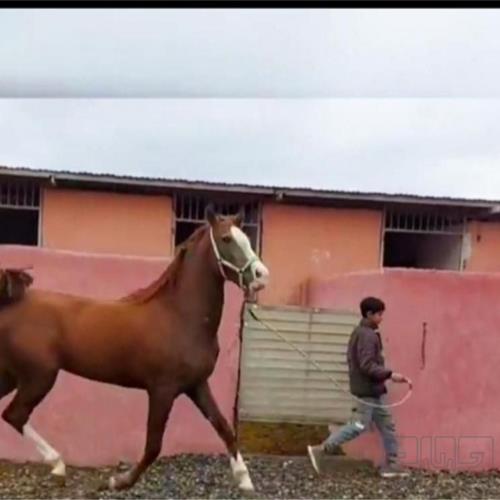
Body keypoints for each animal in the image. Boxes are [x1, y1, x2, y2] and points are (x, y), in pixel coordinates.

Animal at [0, 207, 270, 492]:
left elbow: (223, 427)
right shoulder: (162, 390)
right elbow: (153, 445)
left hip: (12, 375)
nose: (262, 275)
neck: (179, 316)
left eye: (247, 239)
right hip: (39, 376)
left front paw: (245, 480)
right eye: (226, 239)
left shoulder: (196, 385)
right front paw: (119, 481)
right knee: (15, 415)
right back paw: (58, 465)